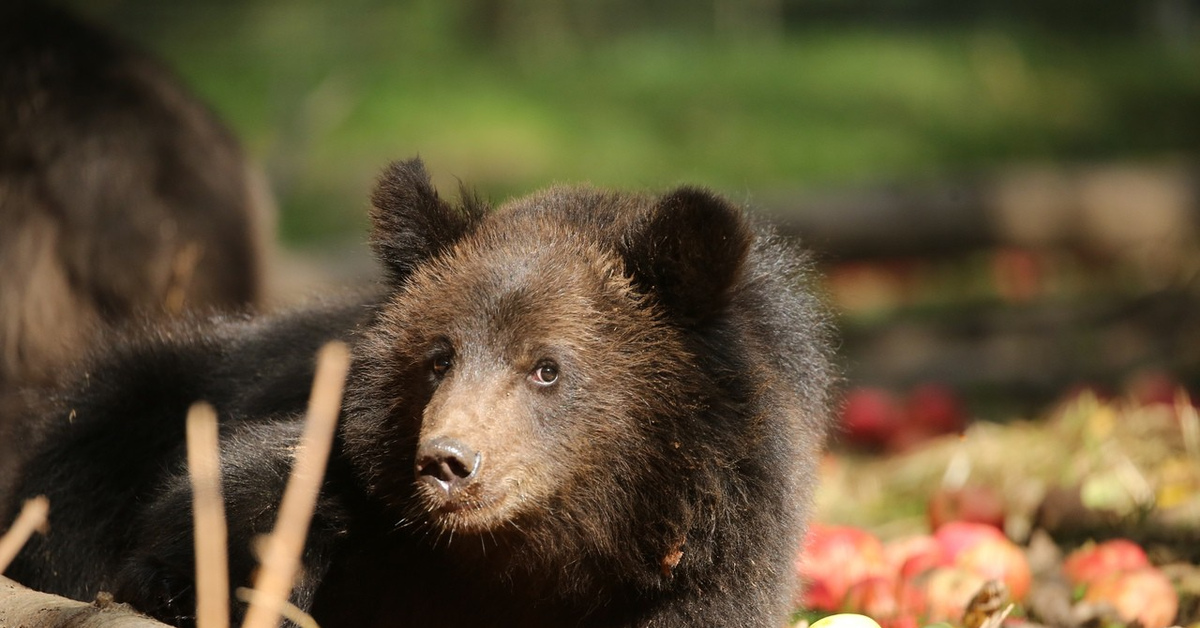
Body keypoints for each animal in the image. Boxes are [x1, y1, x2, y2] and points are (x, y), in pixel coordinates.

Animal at [0, 158, 835, 628]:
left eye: (547, 367)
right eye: (439, 357)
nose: (448, 463)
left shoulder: (710, 561)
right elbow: (251, 490)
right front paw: (201, 584)